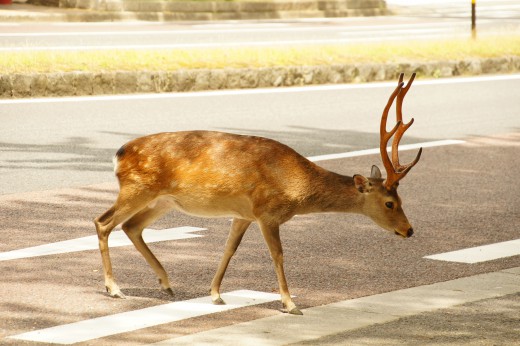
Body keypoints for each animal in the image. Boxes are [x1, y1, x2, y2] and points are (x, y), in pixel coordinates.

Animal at [94, 73, 422, 316]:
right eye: (390, 203)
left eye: (402, 200)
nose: (409, 230)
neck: (298, 187)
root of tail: (118, 154)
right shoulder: (267, 212)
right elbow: (278, 254)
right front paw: (290, 303)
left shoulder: (243, 214)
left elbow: (229, 249)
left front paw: (216, 294)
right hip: (137, 187)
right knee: (104, 222)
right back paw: (115, 288)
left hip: (163, 200)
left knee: (131, 226)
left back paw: (166, 283)